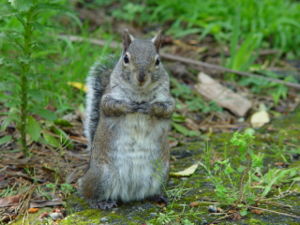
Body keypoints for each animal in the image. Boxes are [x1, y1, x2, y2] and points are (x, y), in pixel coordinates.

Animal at [78, 29, 175, 209]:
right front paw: (129, 106)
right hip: (101, 175)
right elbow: (110, 105)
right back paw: (99, 202)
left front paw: (148, 108)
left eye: (157, 61)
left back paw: (158, 196)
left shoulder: (167, 99)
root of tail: (130, 194)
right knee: (86, 191)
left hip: (160, 174)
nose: (141, 77)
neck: (140, 92)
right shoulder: (109, 96)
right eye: (126, 59)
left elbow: (166, 109)